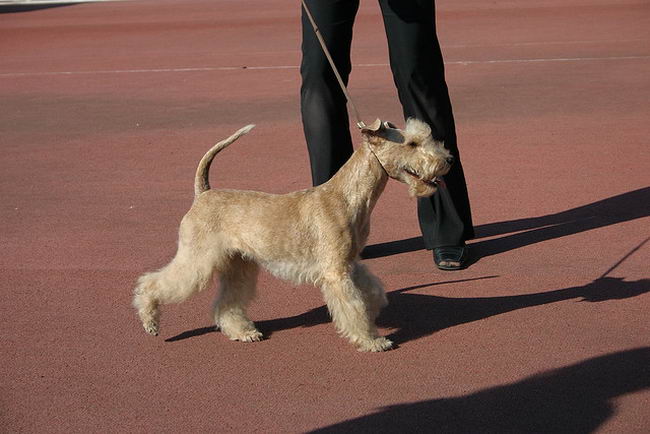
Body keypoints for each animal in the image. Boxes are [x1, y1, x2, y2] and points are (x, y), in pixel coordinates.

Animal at [132, 117, 450, 350]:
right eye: (412, 143)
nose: (447, 160)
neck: (347, 195)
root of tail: (203, 193)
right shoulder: (336, 271)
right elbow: (353, 307)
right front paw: (373, 340)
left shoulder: (348, 263)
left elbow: (370, 291)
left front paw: (375, 308)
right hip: (197, 258)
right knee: (154, 283)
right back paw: (150, 322)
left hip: (239, 264)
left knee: (228, 303)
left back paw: (244, 332)